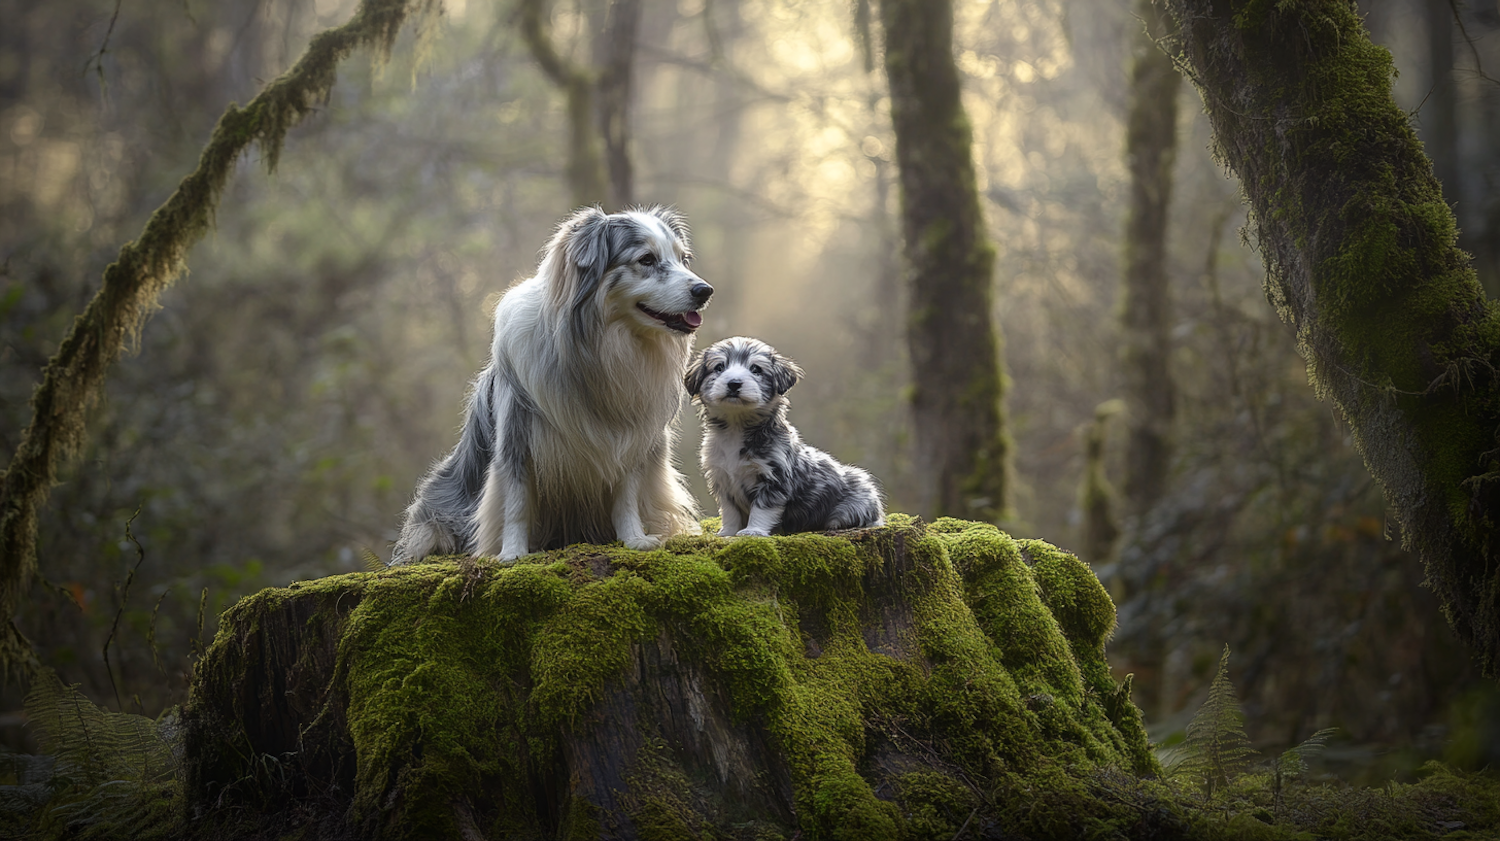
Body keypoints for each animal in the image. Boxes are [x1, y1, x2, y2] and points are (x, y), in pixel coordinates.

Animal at [393, 206, 708, 563]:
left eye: (683, 259)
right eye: (646, 259)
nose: (705, 291)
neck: (600, 346)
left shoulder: (633, 435)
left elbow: (626, 495)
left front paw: (634, 539)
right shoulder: (516, 434)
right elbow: (516, 501)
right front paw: (512, 553)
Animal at [687, 335, 882, 536]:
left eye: (755, 369)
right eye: (719, 367)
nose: (734, 383)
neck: (736, 426)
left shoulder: (774, 479)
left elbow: (761, 509)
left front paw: (753, 531)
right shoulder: (723, 481)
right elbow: (730, 513)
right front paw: (727, 533)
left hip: (856, 500)